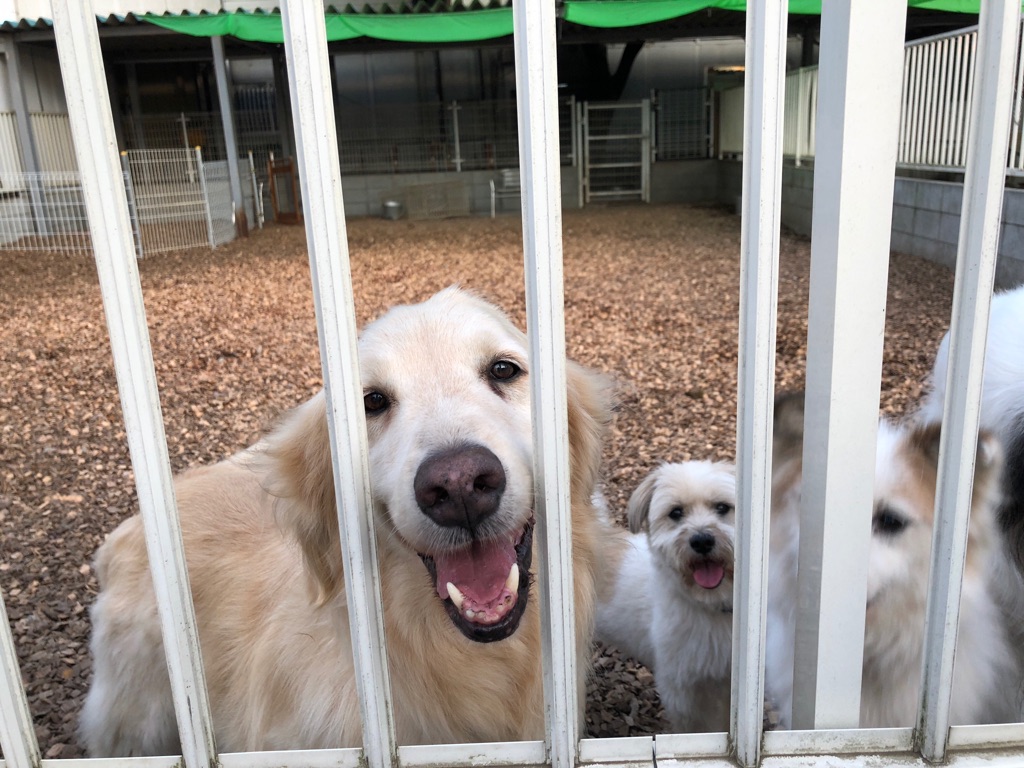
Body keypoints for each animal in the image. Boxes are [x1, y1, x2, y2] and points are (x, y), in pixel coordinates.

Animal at [596, 461, 737, 732]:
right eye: (676, 512)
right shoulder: (682, 688)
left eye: (723, 507)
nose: (702, 540)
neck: (708, 604)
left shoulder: (725, 680)